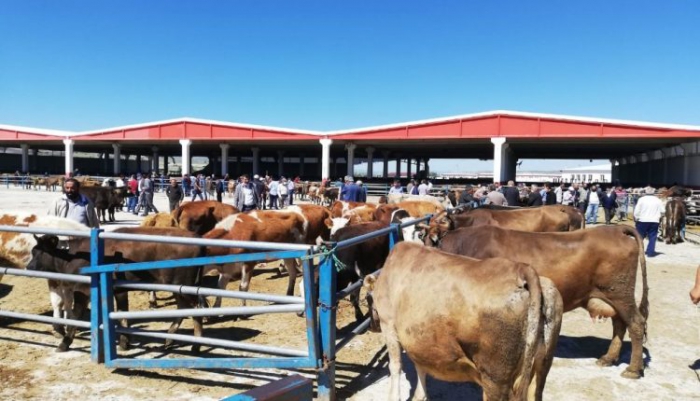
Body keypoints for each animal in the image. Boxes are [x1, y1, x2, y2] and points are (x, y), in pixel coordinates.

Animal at [366, 241, 564, 400]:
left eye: (368, 300)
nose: (371, 326)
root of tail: (522, 269)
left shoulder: (388, 324)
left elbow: (395, 365)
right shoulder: (417, 342)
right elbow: (420, 366)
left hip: (496, 379)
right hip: (541, 366)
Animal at [432, 225, 652, 378]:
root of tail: (616, 229)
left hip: (620, 293)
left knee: (636, 324)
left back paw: (633, 369)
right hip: (614, 297)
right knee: (620, 324)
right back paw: (608, 358)